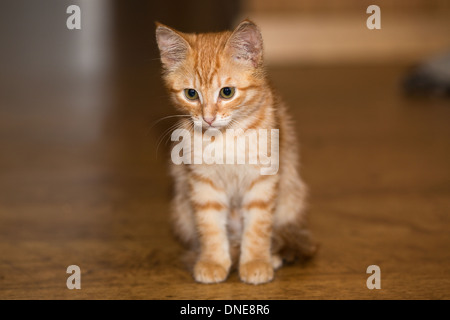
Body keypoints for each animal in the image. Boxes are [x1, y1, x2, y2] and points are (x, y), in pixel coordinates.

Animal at [156, 20, 314, 284]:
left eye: (227, 92)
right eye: (191, 94)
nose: (208, 118)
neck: (224, 137)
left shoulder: (263, 179)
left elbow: (258, 226)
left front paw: (256, 261)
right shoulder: (203, 182)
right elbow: (210, 226)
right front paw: (213, 261)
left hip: (292, 197)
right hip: (181, 210)